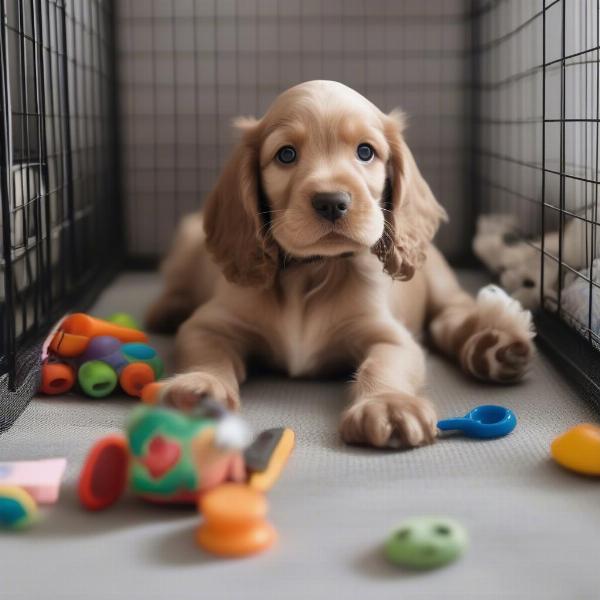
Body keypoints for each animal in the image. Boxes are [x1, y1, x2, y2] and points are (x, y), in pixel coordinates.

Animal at [146, 79, 536, 448]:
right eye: (286, 154)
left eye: (365, 151)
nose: (332, 201)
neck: (313, 270)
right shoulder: (208, 324)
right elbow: (207, 353)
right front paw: (199, 387)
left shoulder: (389, 335)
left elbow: (384, 364)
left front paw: (387, 403)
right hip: (186, 239)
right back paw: (167, 309)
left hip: (438, 277)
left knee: (450, 316)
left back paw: (492, 349)